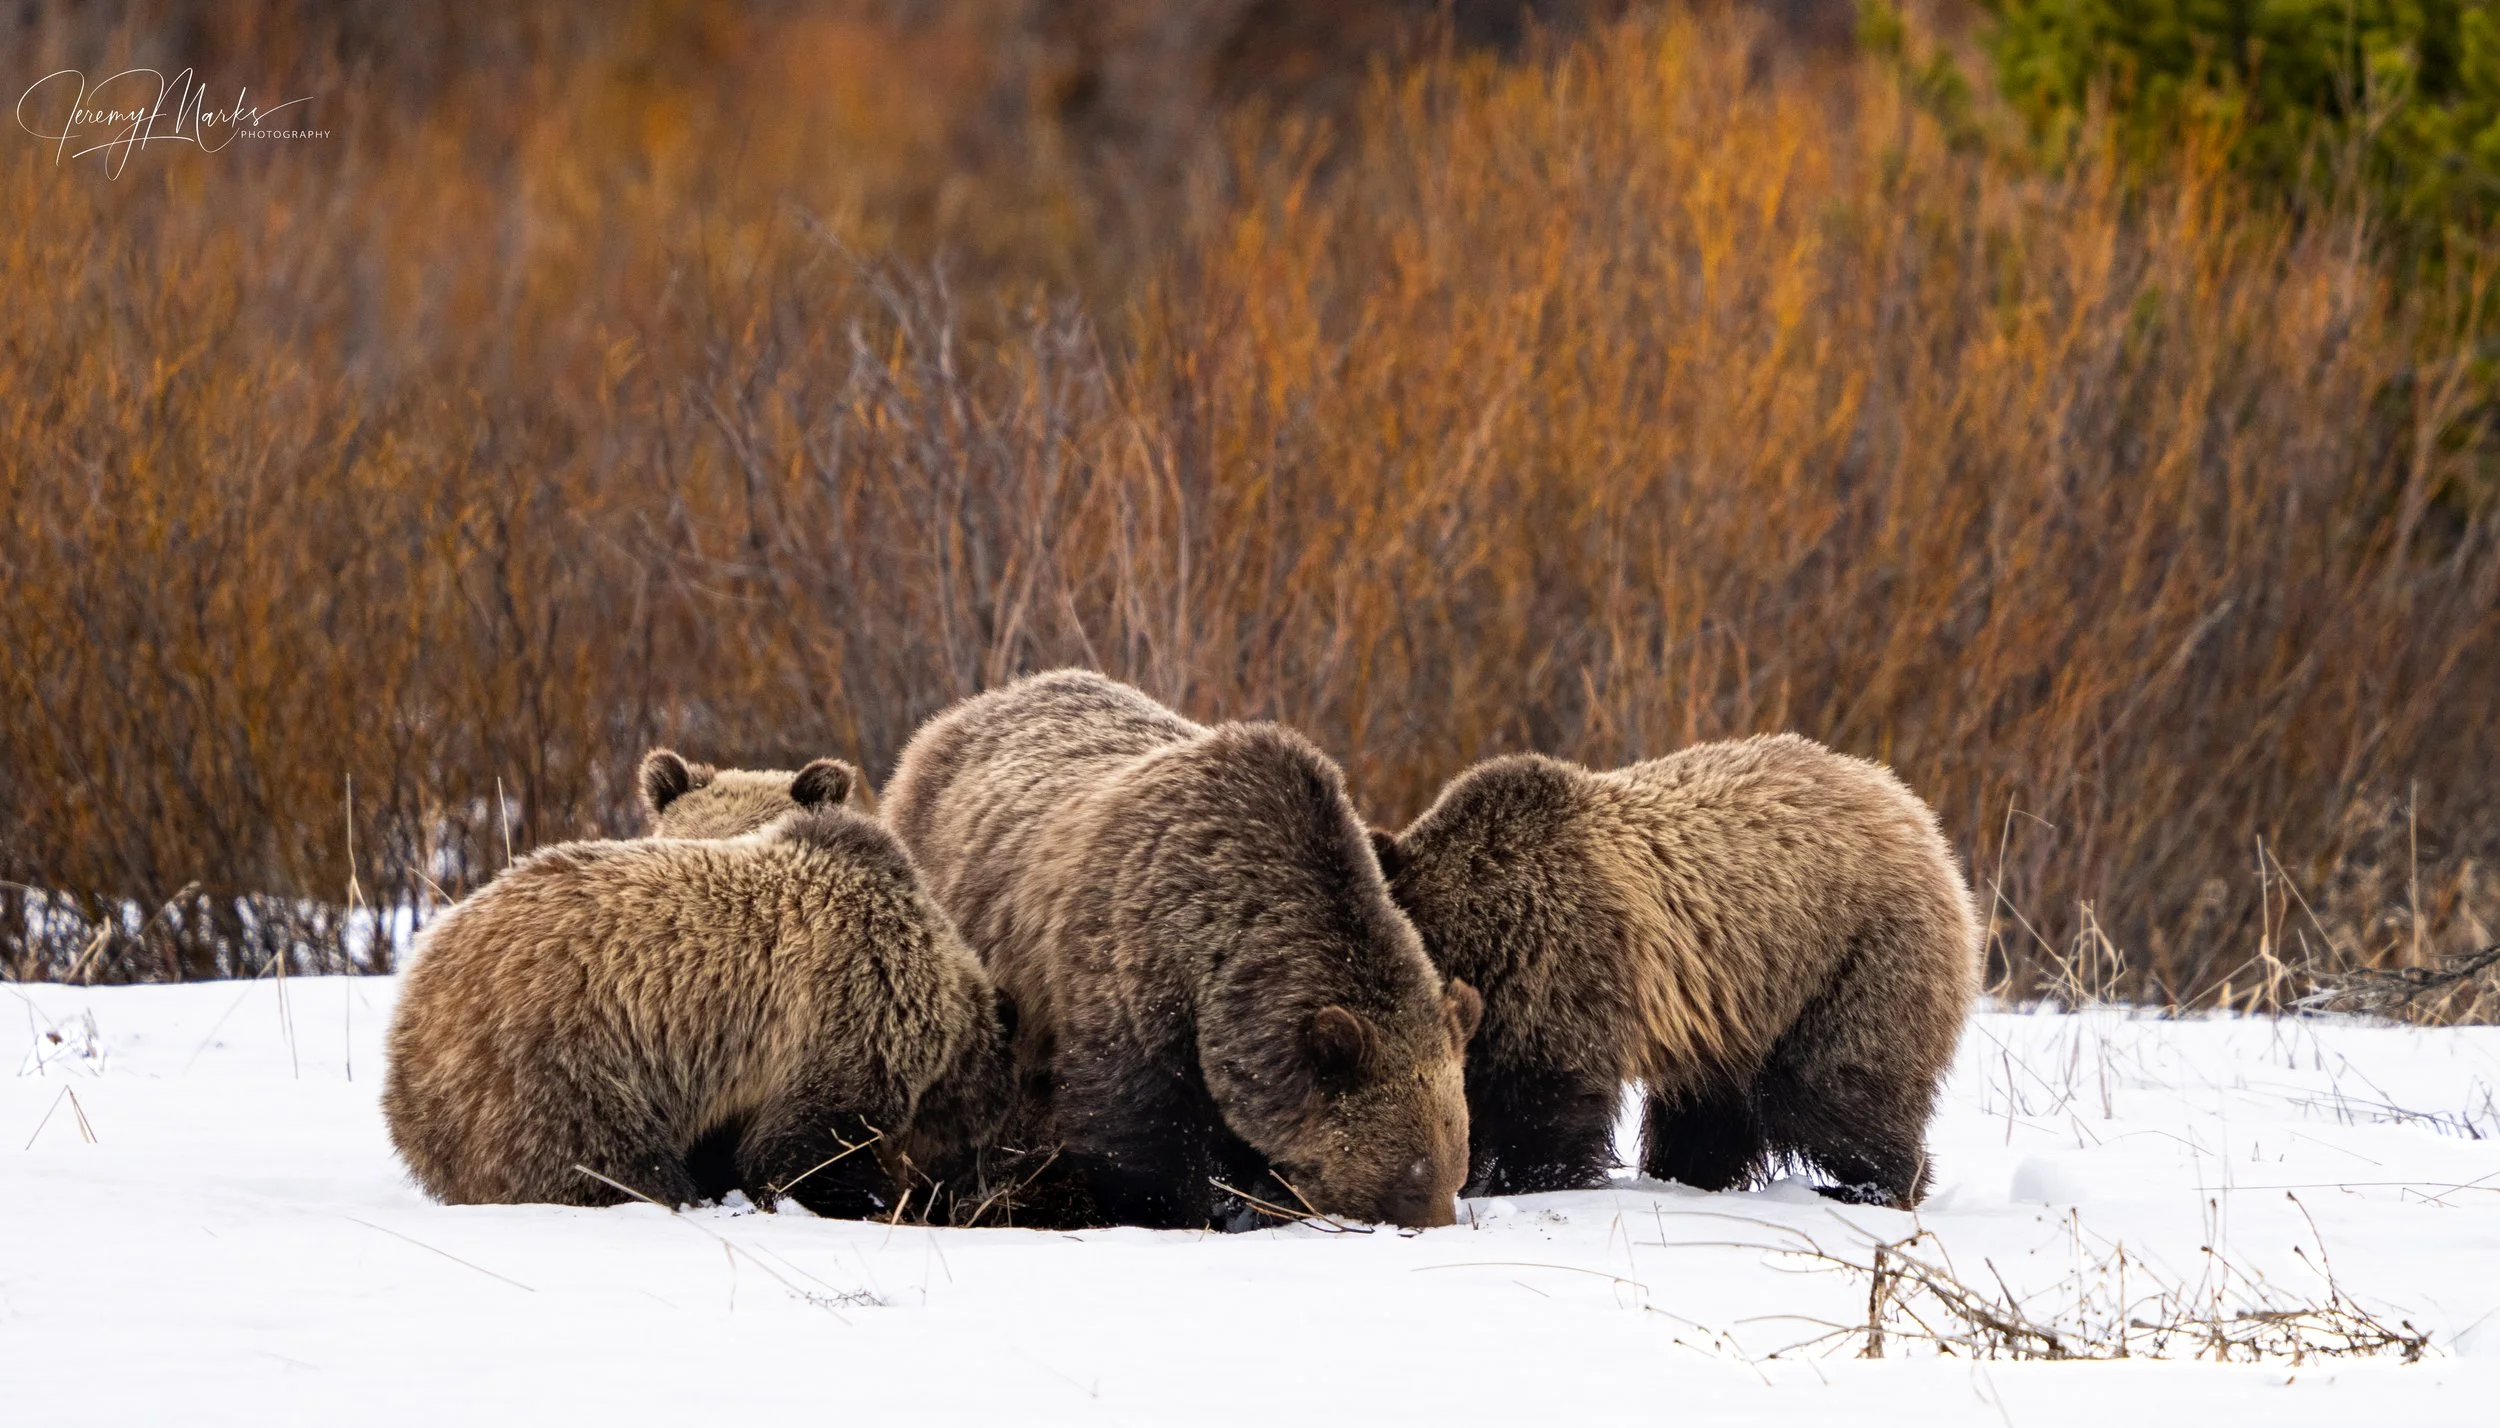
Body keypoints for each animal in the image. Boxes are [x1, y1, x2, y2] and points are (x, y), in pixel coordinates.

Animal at [381, 754, 1013, 1218]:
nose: (970, 1187)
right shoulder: (847, 1013)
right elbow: (807, 1146)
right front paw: (866, 1196)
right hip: (553, 1069)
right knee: (605, 1161)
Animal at [880, 669, 1482, 1230]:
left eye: (1456, 1171)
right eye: (1410, 1180)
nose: (1440, 1222)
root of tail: (959, 714)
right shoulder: (1132, 976)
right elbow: (1135, 1134)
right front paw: (1173, 1210)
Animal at [1374, 734, 1980, 1208]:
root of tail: (1911, 809)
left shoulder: (1557, 968)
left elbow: (1547, 1106)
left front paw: (1530, 1185)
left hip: (1852, 956)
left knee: (1830, 1088)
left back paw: (1875, 1186)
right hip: (1741, 1008)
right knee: (1709, 1112)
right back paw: (1689, 1177)